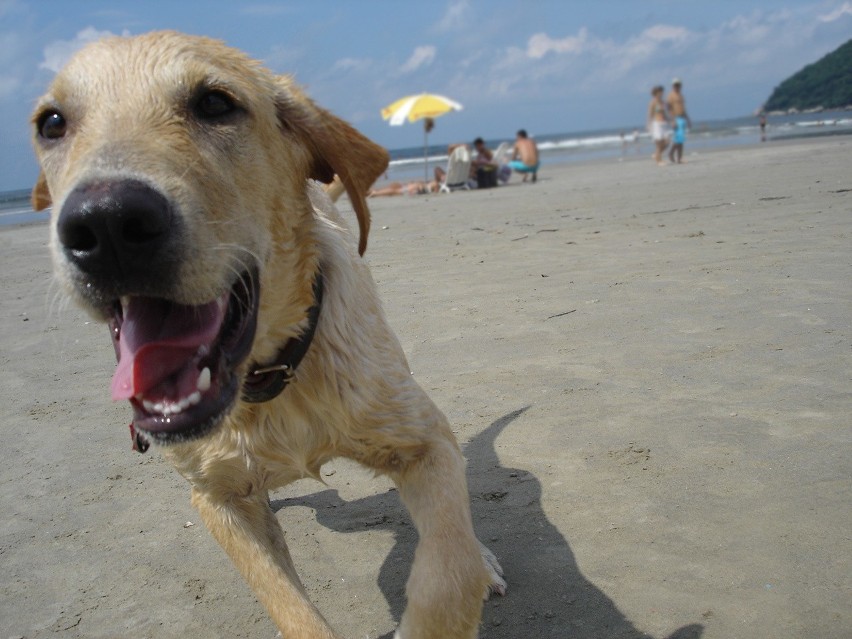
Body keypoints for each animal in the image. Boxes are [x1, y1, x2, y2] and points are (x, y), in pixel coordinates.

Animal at [30, 31, 502, 639]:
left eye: (215, 103)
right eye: (52, 122)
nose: (104, 222)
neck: (269, 381)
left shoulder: (424, 442)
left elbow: (449, 575)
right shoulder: (217, 500)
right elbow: (289, 607)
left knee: (459, 536)